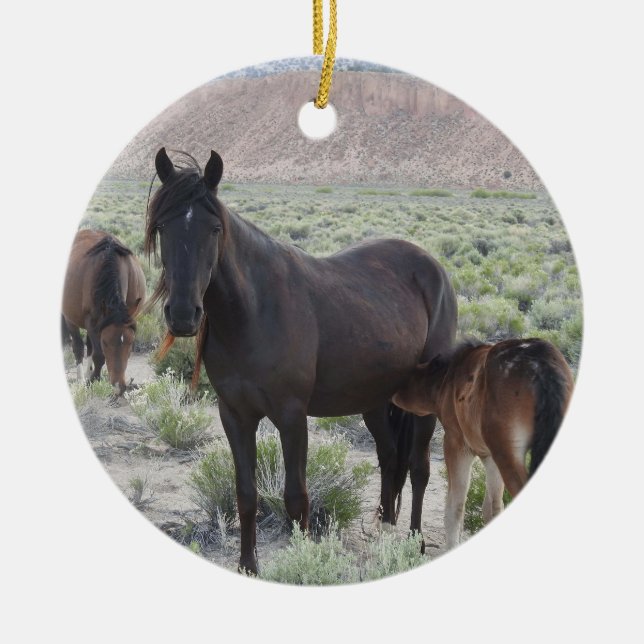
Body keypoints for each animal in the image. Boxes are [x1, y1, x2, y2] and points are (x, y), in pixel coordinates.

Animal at [62, 230, 146, 396]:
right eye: (105, 342)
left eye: (131, 342)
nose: (119, 386)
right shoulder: (92, 321)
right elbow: (99, 355)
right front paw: (92, 380)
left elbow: (94, 351)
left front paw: (93, 378)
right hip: (71, 318)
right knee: (78, 347)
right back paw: (81, 379)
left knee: (88, 346)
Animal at [146, 148, 457, 573]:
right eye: (163, 226)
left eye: (214, 228)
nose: (182, 314)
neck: (254, 311)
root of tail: (433, 266)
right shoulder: (235, 415)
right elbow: (246, 494)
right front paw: (248, 566)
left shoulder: (292, 417)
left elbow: (296, 498)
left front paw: (304, 562)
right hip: (376, 400)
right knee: (391, 456)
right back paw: (384, 527)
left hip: (423, 406)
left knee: (420, 466)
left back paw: (415, 540)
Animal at [392, 337, 574, 548]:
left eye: (409, 376)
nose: (393, 394)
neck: (447, 379)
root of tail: (542, 367)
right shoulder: (489, 456)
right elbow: (492, 507)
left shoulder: (457, 445)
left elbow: (455, 507)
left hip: (507, 455)